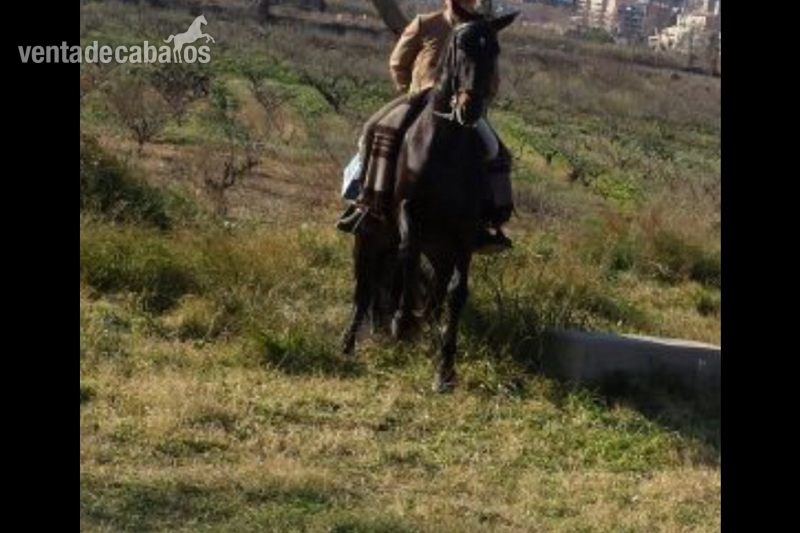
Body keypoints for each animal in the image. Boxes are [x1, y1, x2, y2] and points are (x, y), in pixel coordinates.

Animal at [341, 7, 518, 392]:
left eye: (495, 50)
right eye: (461, 44)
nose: (470, 108)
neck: (447, 145)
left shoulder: (464, 231)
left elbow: (456, 292)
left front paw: (445, 366)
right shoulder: (409, 211)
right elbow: (407, 258)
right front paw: (402, 320)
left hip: (440, 251)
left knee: (431, 290)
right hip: (370, 236)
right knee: (365, 286)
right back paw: (349, 342)